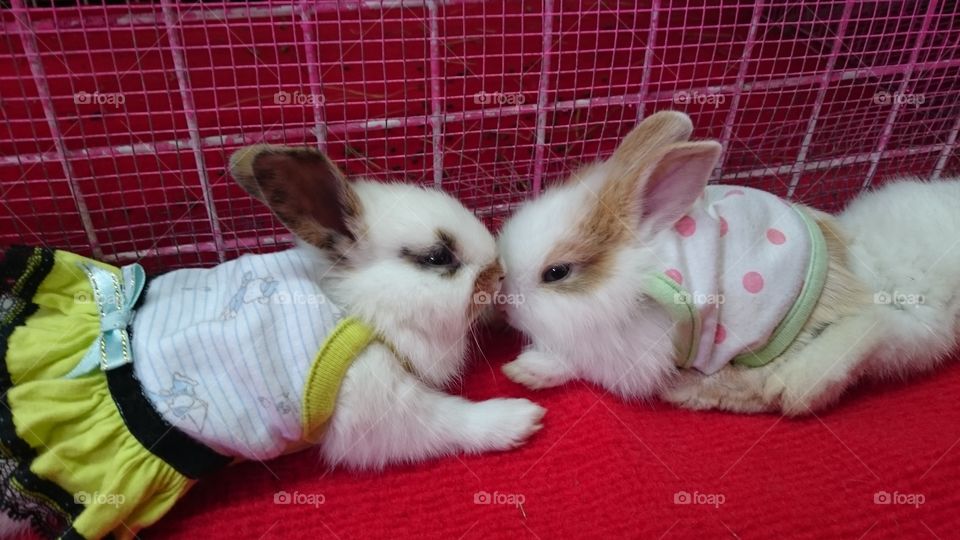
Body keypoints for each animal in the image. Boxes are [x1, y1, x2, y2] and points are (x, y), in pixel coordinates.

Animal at [496, 110, 960, 416]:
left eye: (556, 273)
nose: (503, 305)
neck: (635, 268)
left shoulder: (635, 351)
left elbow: (576, 362)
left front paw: (525, 371)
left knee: (785, 389)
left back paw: (690, 391)